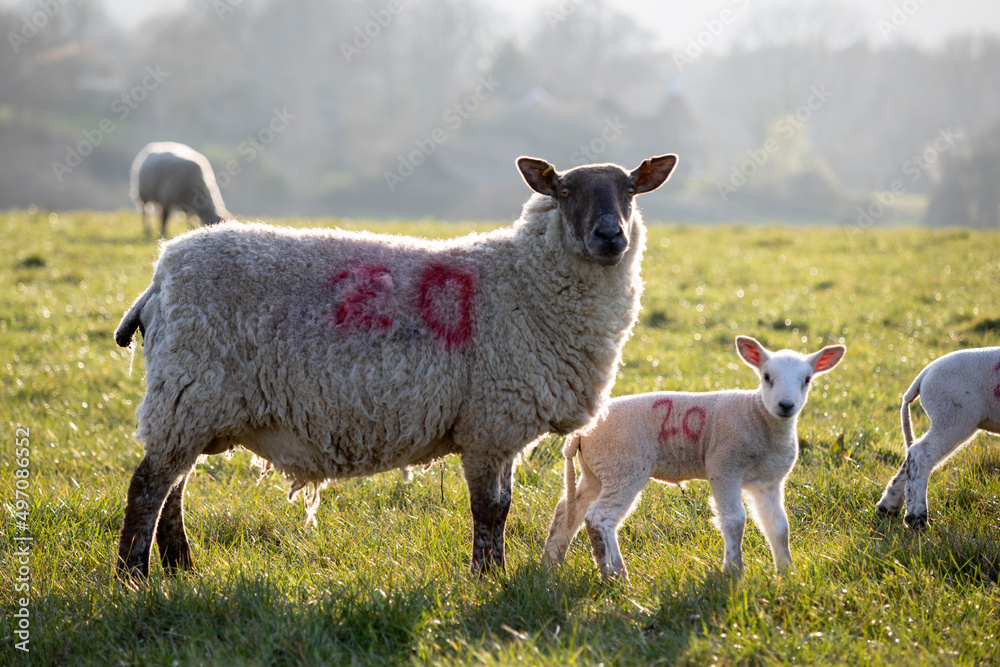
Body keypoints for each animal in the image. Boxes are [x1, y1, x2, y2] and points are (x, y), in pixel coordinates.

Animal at [113, 153, 679, 581]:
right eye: (564, 191)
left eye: (630, 191)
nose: (610, 236)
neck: (523, 280)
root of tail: (160, 276)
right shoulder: (489, 424)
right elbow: (490, 509)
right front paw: (486, 577)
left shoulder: (500, 428)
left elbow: (502, 506)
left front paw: (491, 573)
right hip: (187, 393)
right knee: (148, 488)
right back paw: (133, 575)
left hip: (195, 405)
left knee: (173, 489)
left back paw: (182, 568)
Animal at [543, 336, 846, 581]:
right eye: (767, 377)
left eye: (807, 380)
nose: (786, 405)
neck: (757, 416)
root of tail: (580, 435)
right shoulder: (723, 468)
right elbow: (734, 520)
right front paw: (733, 571)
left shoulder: (768, 482)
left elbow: (779, 527)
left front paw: (786, 573)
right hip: (623, 467)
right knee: (599, 517)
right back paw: (616, 575)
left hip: (596, 471)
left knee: (569, 510)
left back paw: (552, 562)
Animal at [876, 346, 1000, 529]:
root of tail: (924, 374)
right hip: (955, 413)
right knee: (921, 454)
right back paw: (917, 519)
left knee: (911, 455)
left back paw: (888, 507)